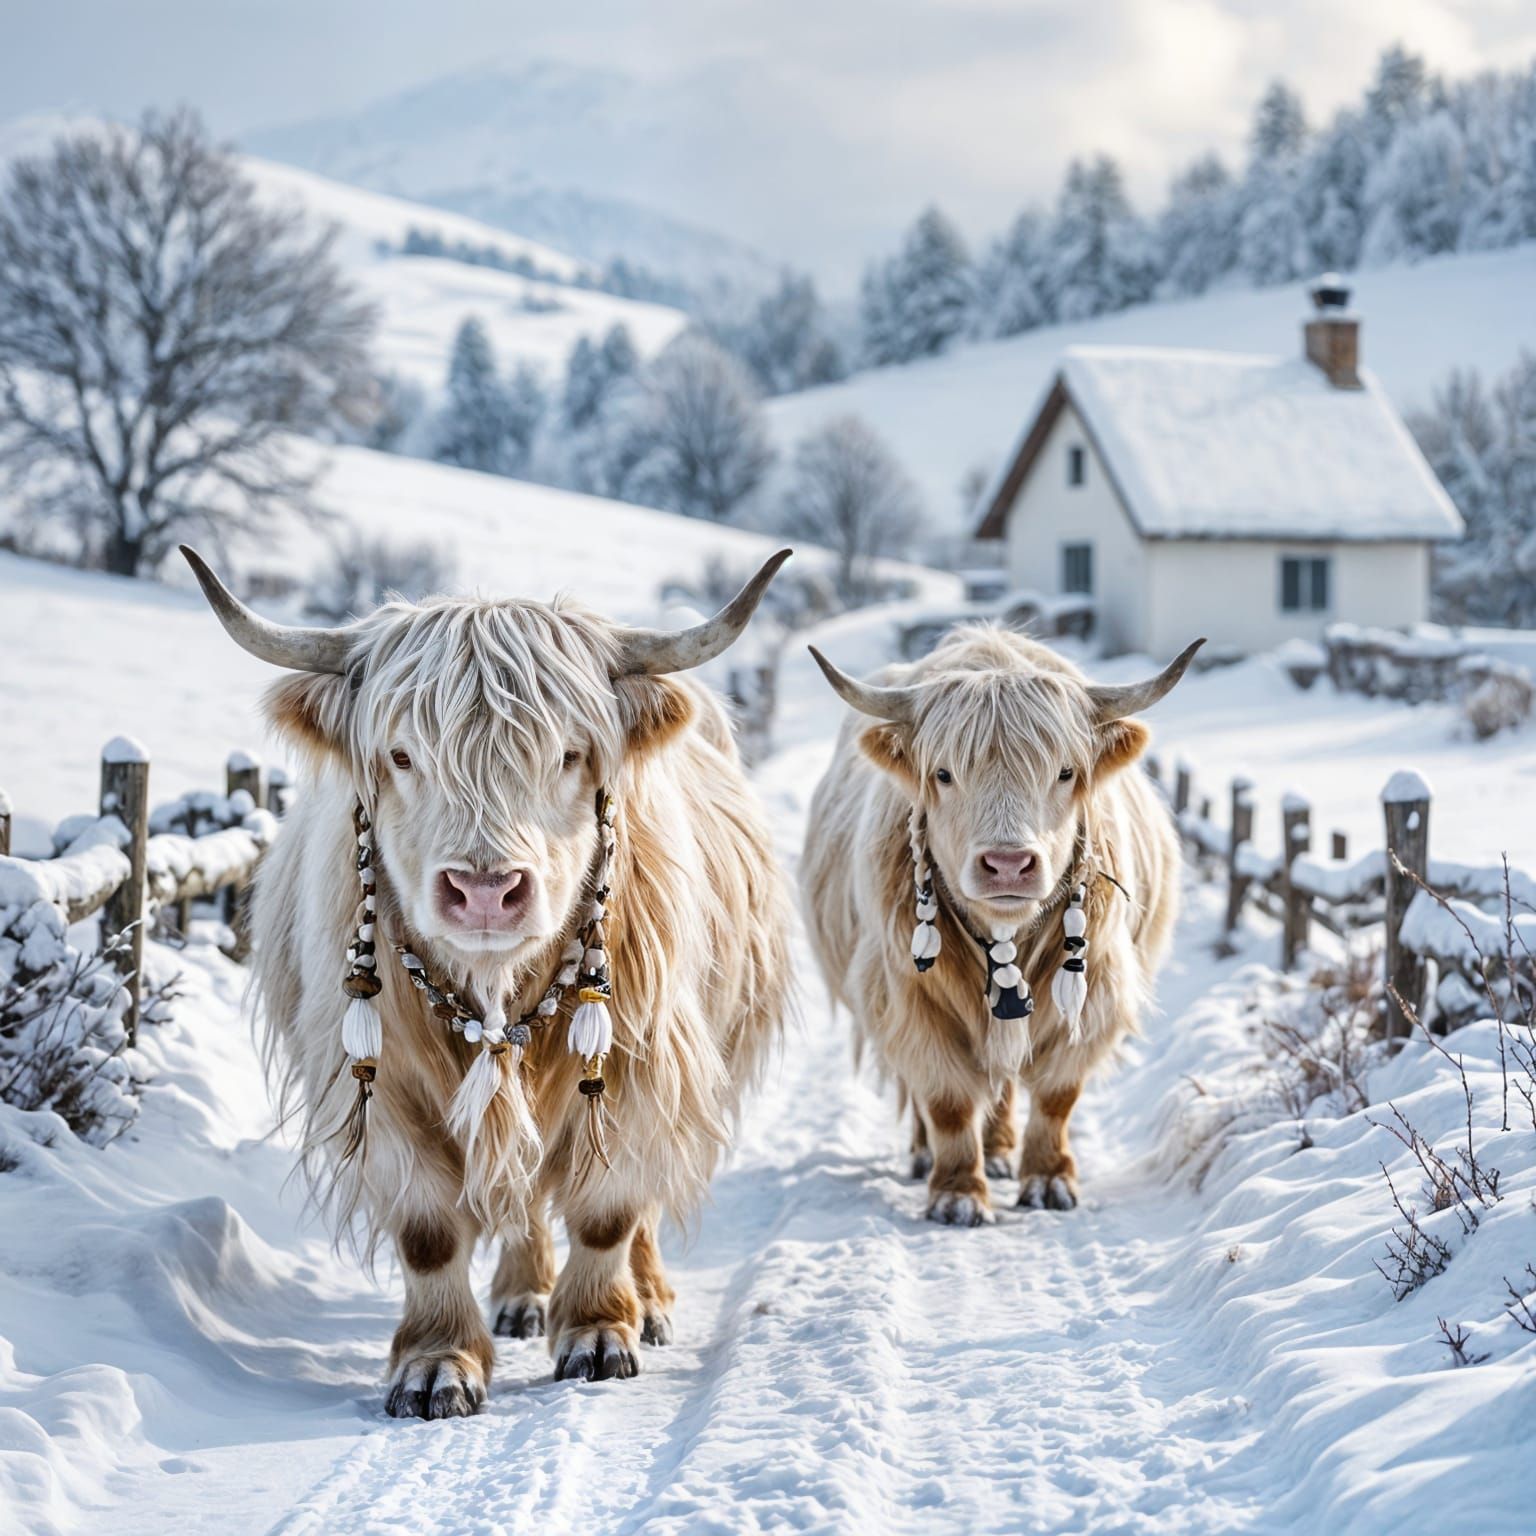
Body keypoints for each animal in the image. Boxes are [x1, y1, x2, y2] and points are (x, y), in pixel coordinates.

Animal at [182, 546, 793, 1417]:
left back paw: (648, 1302)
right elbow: (430, 1231)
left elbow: (608, 1212)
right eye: (403, 755)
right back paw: (520, 1296)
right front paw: (437, 1363)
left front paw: (600, 1334)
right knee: (522, 1195)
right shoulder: (382, 1092)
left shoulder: (643, 1070)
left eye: (569, 753)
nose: (484, 890)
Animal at [800, 624, 1200, 1227]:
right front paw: (958, 1194)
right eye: (943, 773)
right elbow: (946, 1099)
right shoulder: (907, 996)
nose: (1008, 864)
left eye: (1065, 772)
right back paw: (930, 1156)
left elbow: (1057, 1095)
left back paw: (1001, 1152)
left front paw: (1049, 1181)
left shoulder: (1096, 988)